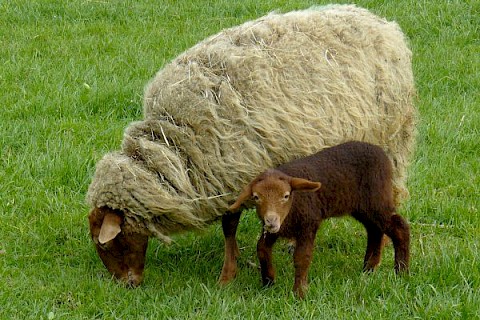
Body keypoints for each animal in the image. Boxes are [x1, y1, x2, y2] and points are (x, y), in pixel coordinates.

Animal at [227, 141, 410, 298]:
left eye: (286, 196)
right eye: (256, 197)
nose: (271, 221)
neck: (294, 205)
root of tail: (381, 152)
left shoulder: (308, 224)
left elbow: (302, 257)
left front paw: (299, 293)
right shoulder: (276, 229)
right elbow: (262, 248)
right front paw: (268, 281)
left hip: (377, 198)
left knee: (399, 227)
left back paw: (401, 271)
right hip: (363, 207)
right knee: (374, 230)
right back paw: (369, 268)